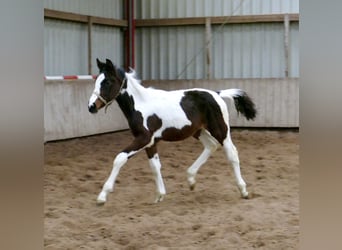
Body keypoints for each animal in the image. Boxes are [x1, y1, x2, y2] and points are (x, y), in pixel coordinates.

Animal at [88, 59, 256, 205]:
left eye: (107, 82)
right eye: (96, 82)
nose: (91, 107)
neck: (141, 104)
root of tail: (217, 93)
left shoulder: (143, 138)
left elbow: (120, 158)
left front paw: (102, 196)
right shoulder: (151, 142)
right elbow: (155, 166)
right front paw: (159, 195)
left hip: (220, 130)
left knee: (231, 153)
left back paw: (243, 190)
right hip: (199, 131)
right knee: (211, 146)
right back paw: (191, 180)